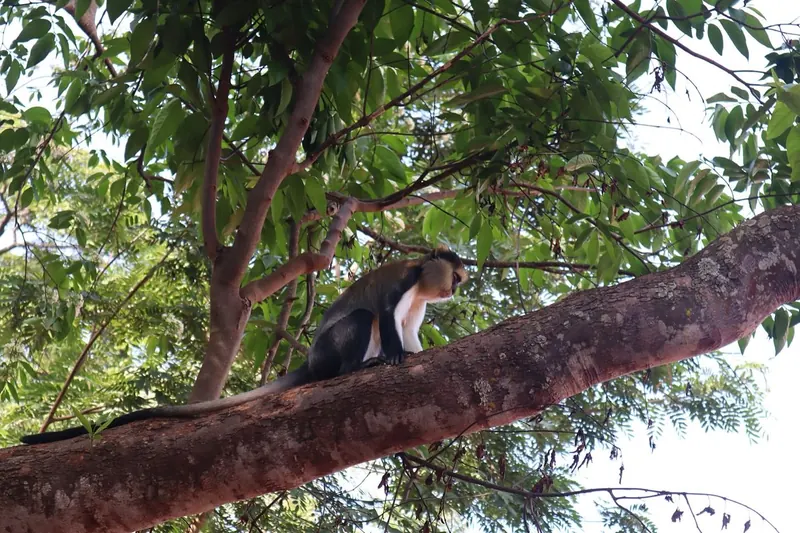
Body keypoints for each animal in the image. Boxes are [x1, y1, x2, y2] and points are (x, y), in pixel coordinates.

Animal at [20, 246, 467, 445]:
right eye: (457, 276)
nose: (453, 290)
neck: (421, 280)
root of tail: (310, 360)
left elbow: (407, 329)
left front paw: (414, 354)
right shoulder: (404, 283)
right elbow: (387, 315)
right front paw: (395, 358)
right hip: (328, 349)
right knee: (361, 319)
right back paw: (352, 369)